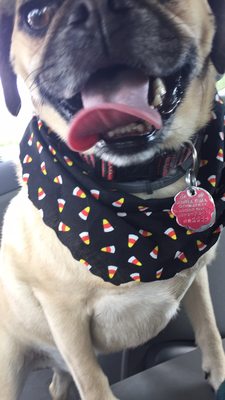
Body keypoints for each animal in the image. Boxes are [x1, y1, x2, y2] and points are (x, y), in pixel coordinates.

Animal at [0, 0, 225, 398]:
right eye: (36, 16)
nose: (95, 11)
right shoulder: (66, 318)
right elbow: (92, 380)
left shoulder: (197, 275)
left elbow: (209, 327)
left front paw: (219, 373)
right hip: (10, 363)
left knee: (58, 383)